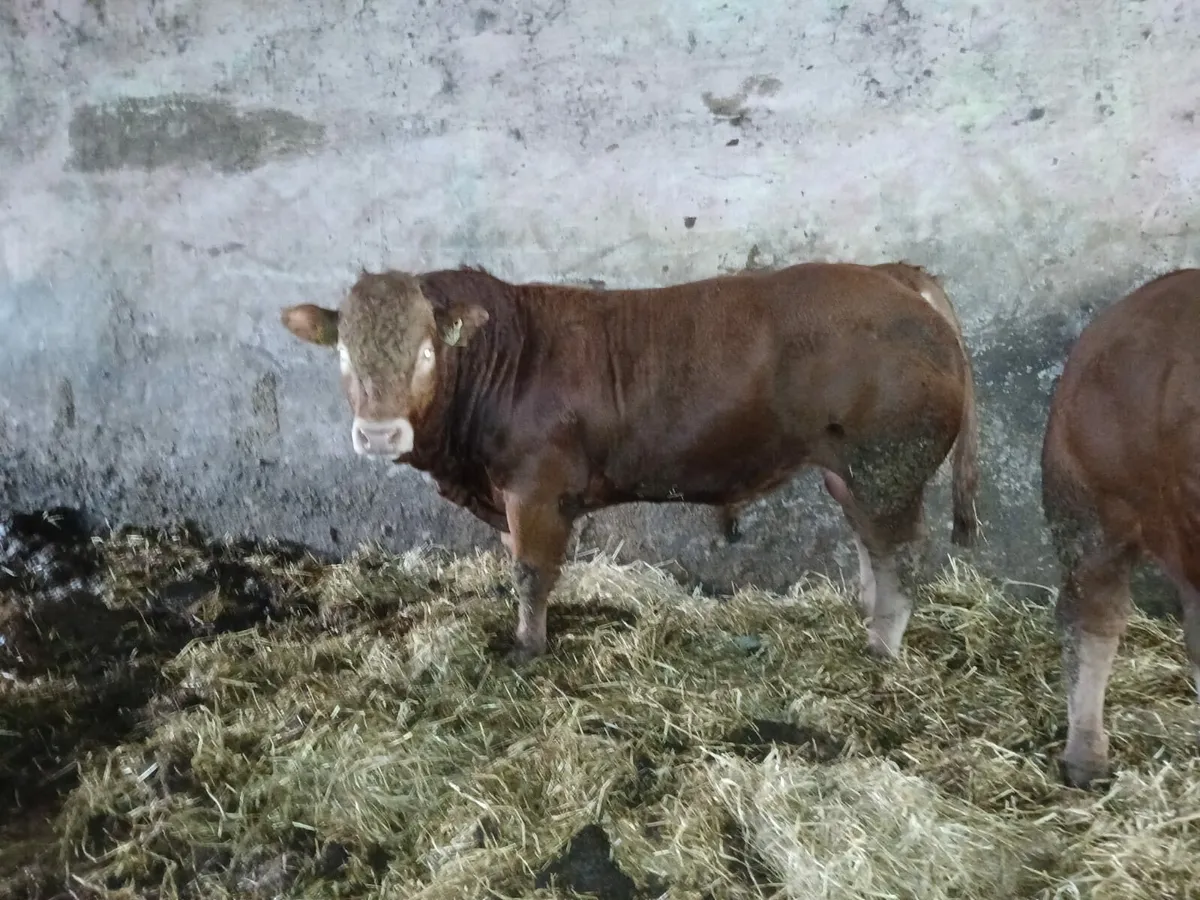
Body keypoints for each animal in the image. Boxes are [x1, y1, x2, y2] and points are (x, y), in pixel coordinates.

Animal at [281, 261, 979, 663]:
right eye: (343, 353)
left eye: (426, 353)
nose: (379, 434)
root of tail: (891, 273)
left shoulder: (537, 489)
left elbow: (531, 574)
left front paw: (526, 649)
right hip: (852, 471)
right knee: (871, 544)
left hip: (888, 462)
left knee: (899, 554)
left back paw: (882, 649)